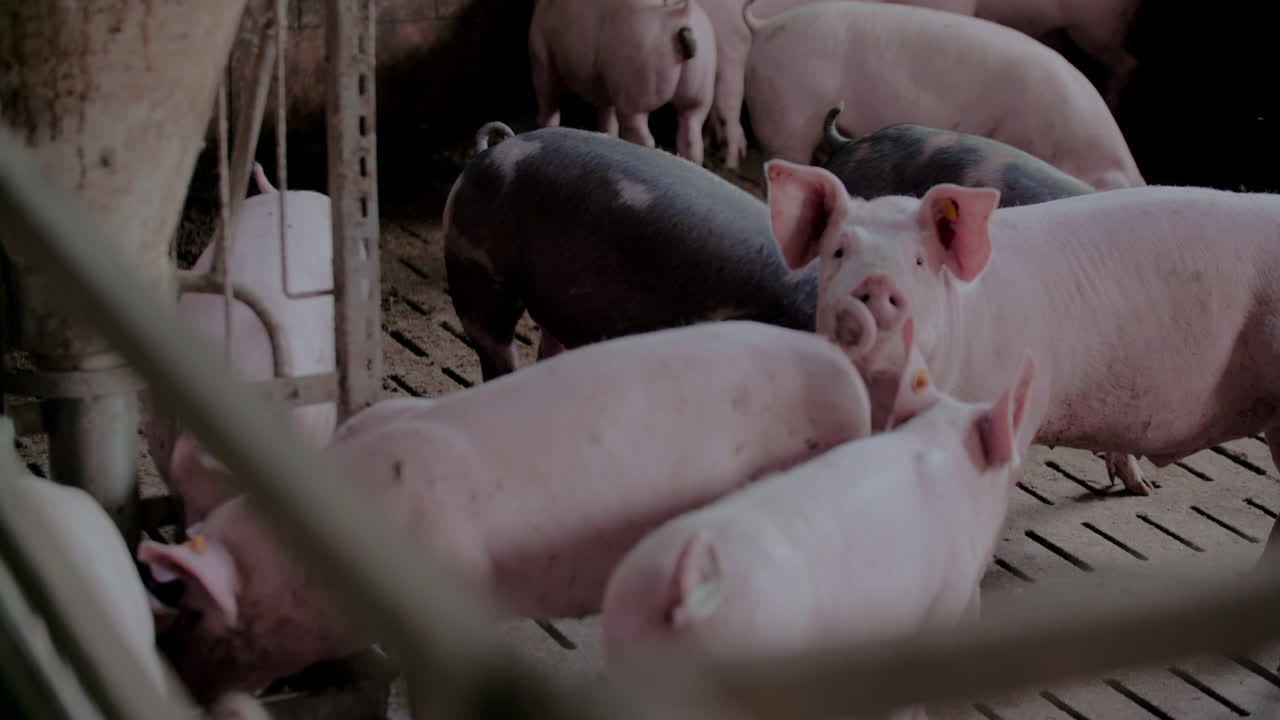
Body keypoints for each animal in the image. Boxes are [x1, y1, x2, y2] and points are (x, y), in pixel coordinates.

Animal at [528, 0, 717, 165]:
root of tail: (681, 19)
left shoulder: (541, 54)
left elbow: (548, 99)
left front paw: (542, 127)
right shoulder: (607, 84)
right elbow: (607, 114)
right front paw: (606, 132)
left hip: (637, 88)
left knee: (643, 135)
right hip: (701, 88)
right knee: (692, 137)